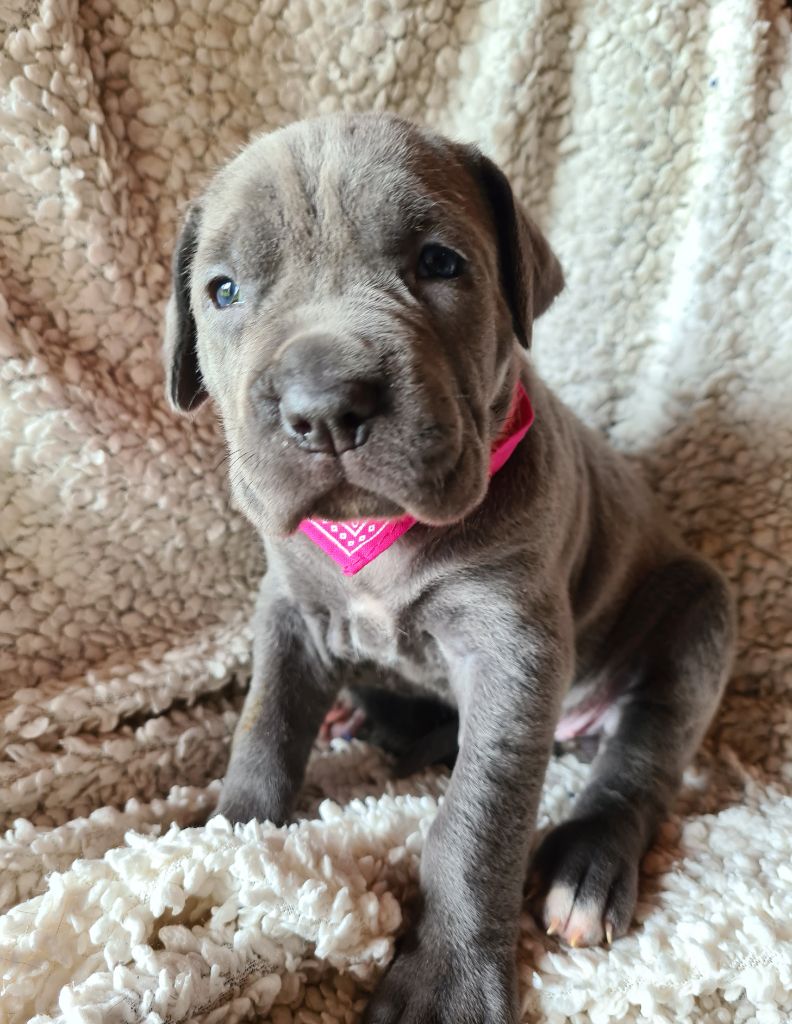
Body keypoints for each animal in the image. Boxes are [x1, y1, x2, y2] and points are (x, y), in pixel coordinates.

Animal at [161, 112, 733, 1024]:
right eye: (223, 291)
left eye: (439, 263)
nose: (324, 406)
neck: (379, 533)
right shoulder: (287, 609)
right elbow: (264, 725)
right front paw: (232, 833)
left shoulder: (512, 648)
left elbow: (474, 820)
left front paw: (447, 980)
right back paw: (369, 714)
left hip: (698, 615)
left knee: (640, 761)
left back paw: (589, 865)